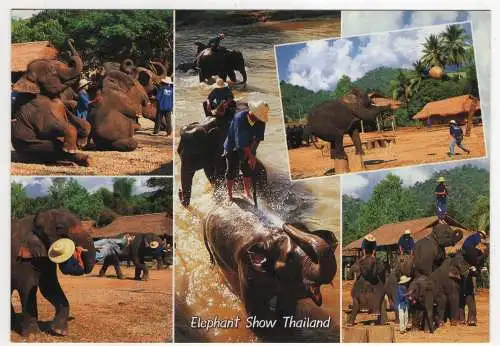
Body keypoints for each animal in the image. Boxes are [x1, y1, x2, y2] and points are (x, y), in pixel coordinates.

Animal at [201, 199, 338, 324]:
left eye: (313, 253)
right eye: (290, 258)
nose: (286, 224)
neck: (270, 235)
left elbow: (287, 308)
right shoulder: (248, 271)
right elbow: (257, 312)